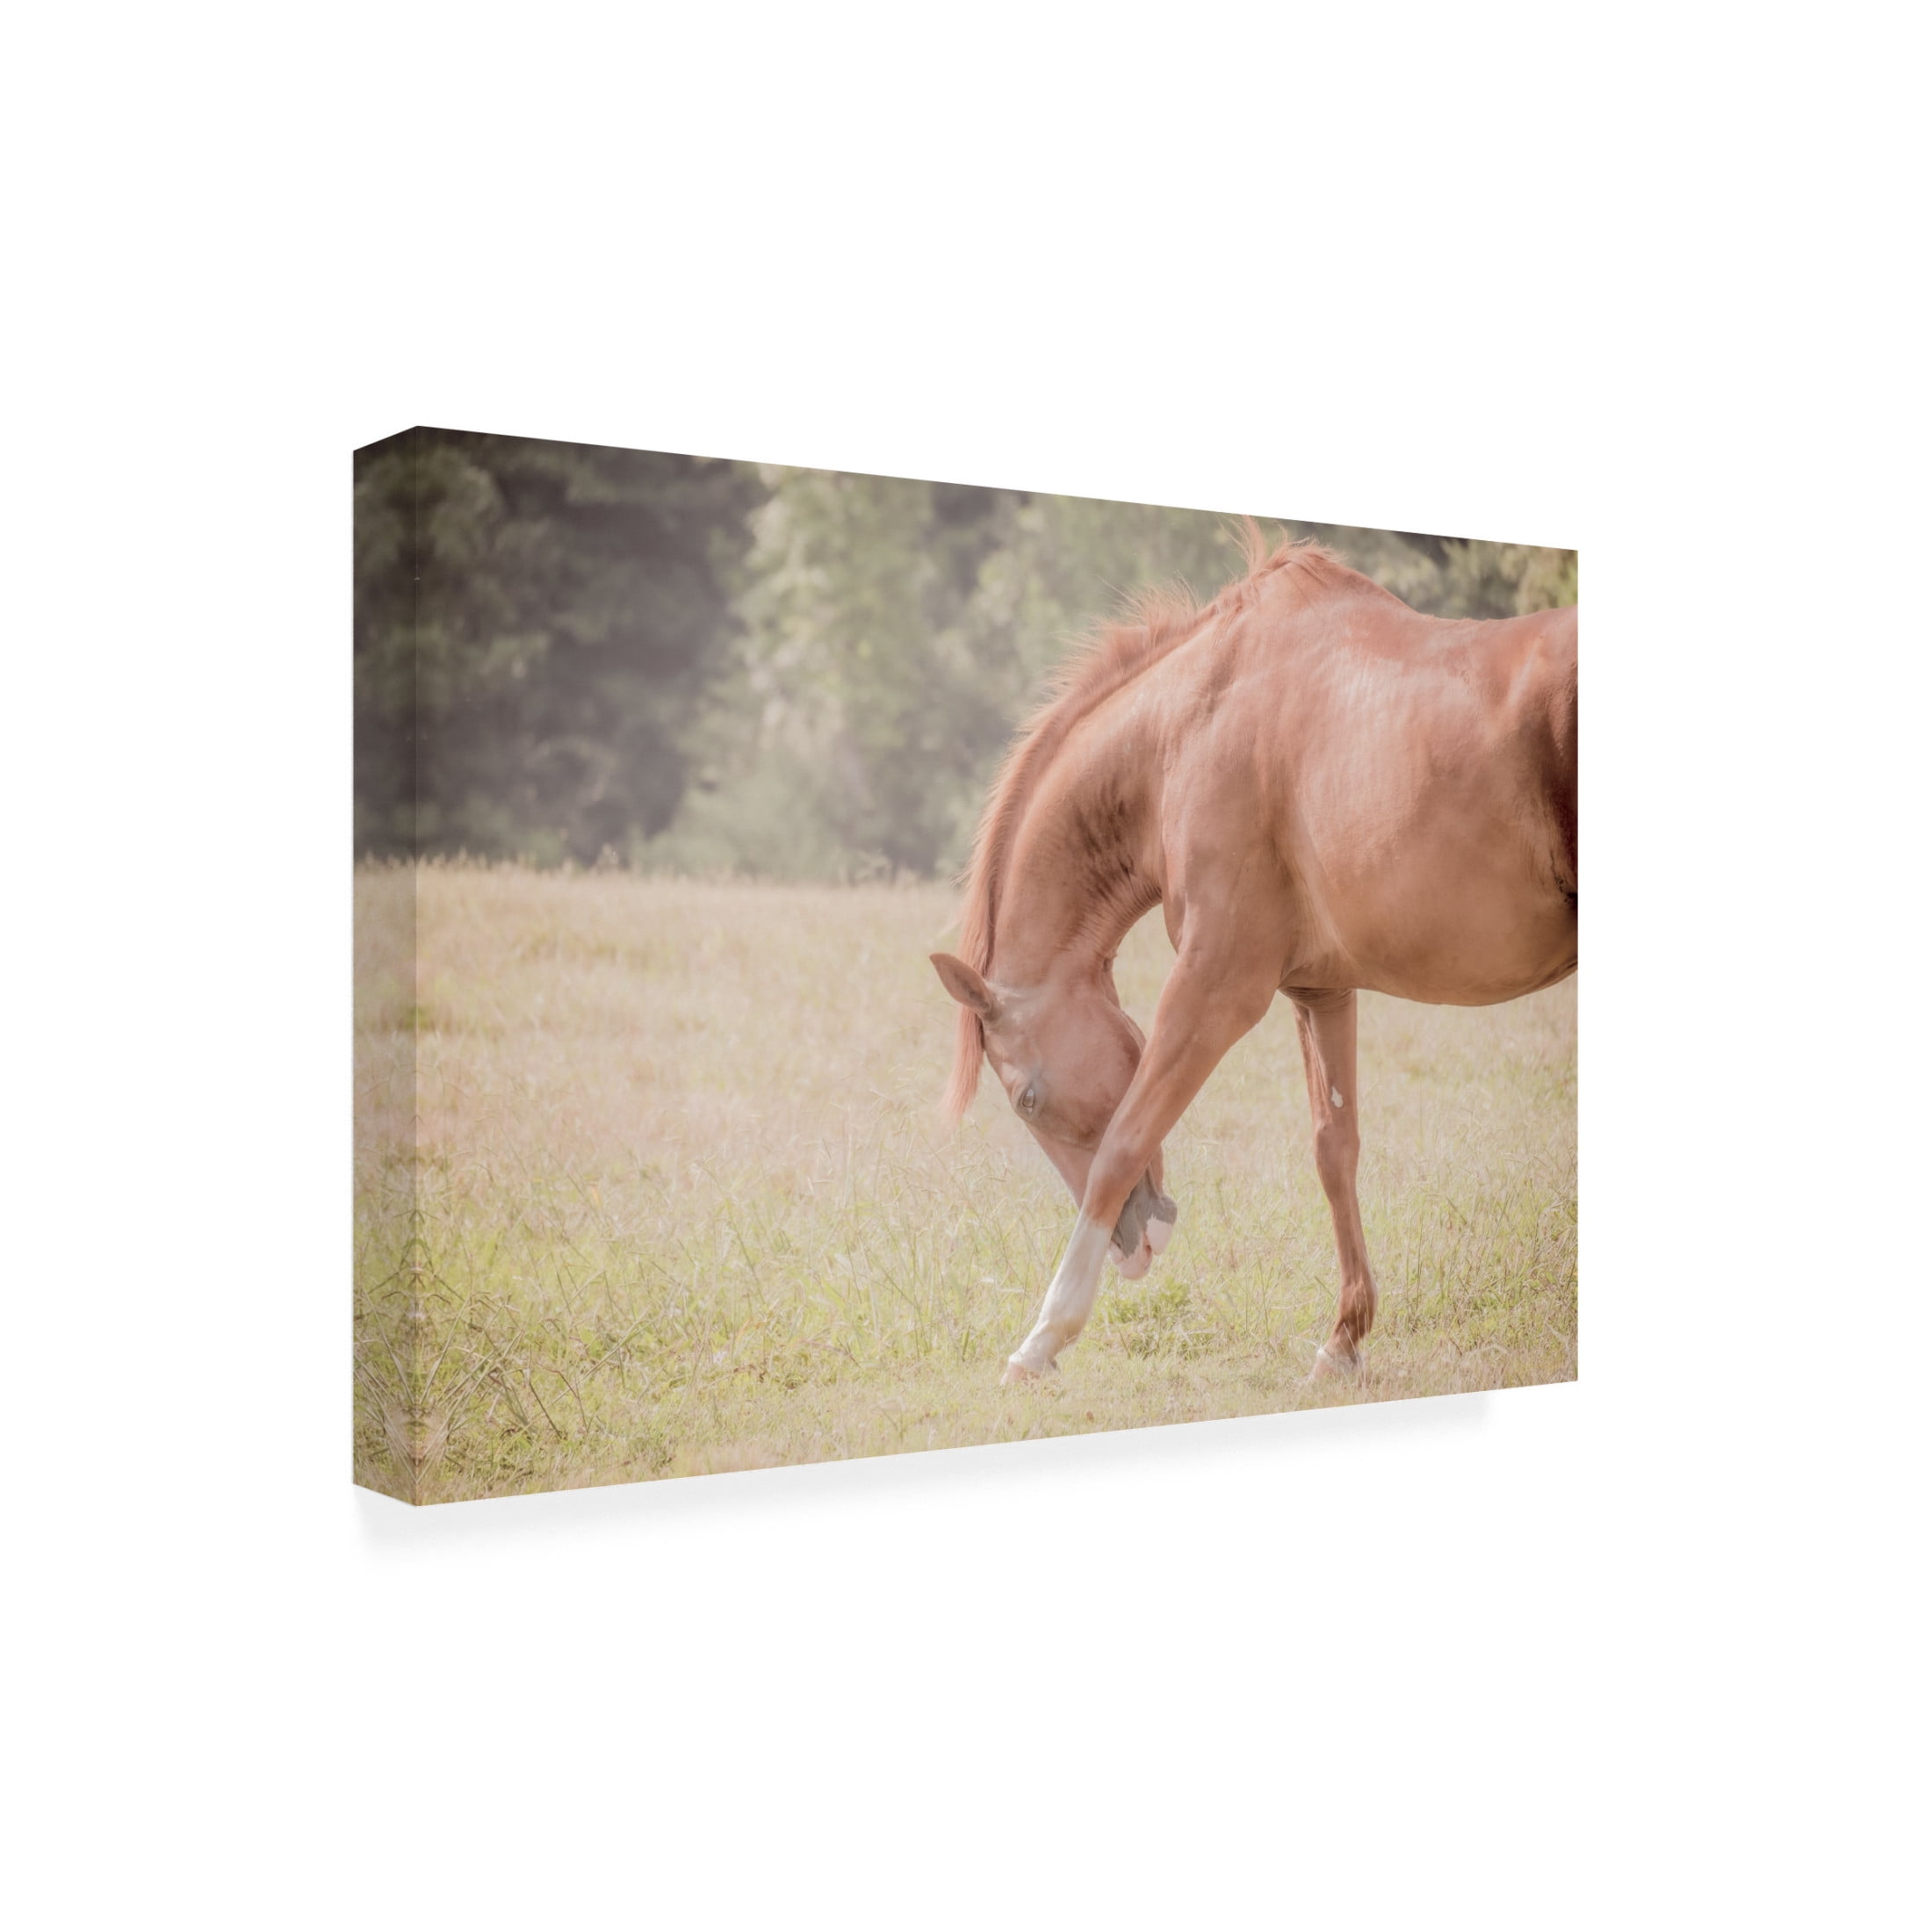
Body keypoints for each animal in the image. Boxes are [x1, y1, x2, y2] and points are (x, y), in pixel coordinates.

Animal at [930, 529, 1576, 1385]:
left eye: (1027, 1100)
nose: (1135, 1246)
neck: (1187, 733)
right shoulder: (1320, 992)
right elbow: (1335, 1148)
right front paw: (1344, 1337)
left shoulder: (1216, 988)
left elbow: (1121, 1143)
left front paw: (1043, 1338)